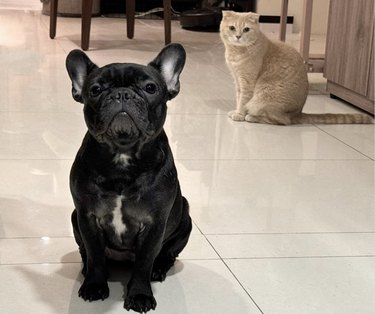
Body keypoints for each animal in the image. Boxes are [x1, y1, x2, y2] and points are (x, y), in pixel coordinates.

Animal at [219, 11, 374, 124]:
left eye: (246, 29)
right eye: (232, 28)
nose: (238, 36)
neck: (237, 52)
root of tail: (297, 113)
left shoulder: (247, 83)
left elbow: (243, 101)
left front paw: (239, 114)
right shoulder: (237, 81)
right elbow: (238, 98)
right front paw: (236, 111)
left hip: (263, 97)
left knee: (281, 121)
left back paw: (252, 117)